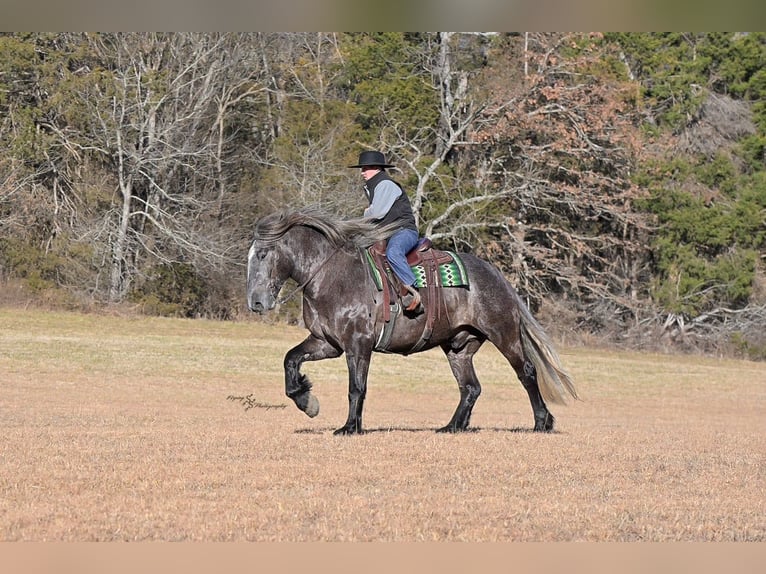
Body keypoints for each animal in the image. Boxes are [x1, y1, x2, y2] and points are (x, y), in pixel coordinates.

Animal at [246, 207, 578, 435]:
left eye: (262, 255)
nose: (256, 302)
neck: (332, 276)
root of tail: (496, 275)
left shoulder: (358, 344)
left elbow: (356, 387)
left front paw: (350, 427)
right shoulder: (326, 343)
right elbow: (290, 360)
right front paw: (307, 401)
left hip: (504, 334)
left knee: (527, 372)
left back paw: (542, 422)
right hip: (459, 346)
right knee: (470, 387)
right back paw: (452, 426)